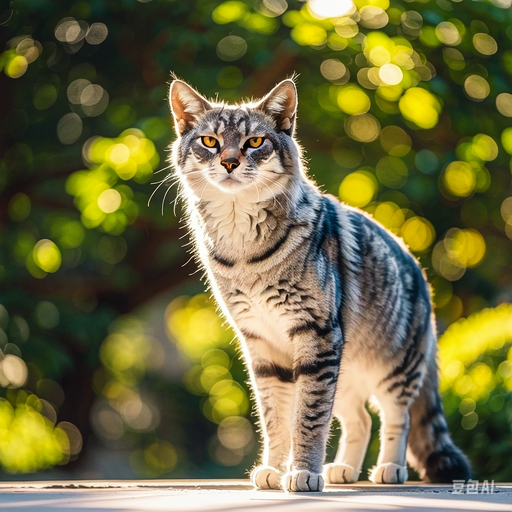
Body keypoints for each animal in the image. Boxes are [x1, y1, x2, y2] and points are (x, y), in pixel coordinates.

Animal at [167, 77, 468, 492]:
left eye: (254, 142)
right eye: (210, 141)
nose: (229, 162)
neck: (245, 248)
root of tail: (418, 267)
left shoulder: (316, 334)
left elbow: (307, 420)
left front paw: (304, 471)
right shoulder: (262, 346)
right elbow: (276, 420)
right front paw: (275, 468)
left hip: (391, 368)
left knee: (398, 417)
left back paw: (389, 468)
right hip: (342, 371)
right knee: (360, 419)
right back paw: (344, 469)